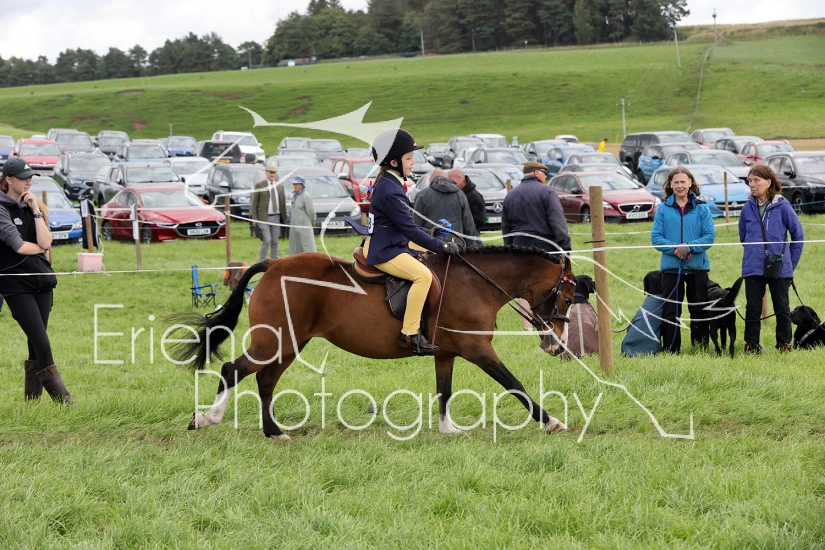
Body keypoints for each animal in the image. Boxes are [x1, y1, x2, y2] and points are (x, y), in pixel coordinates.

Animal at [168, 246, 576, 440]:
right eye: (569, 297)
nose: (557, 345)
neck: (476, 283)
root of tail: (274, 264)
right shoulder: (478, 351)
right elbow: (515, 385)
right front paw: (552, 422)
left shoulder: (446, 353)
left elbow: (444, 389)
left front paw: (448, 430)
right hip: (276, 341)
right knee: (232, 369)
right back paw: (206, 418)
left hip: (289, 344)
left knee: (265, 380)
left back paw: (274, 432)